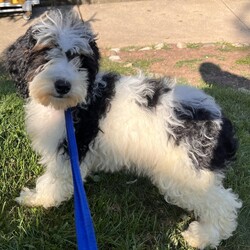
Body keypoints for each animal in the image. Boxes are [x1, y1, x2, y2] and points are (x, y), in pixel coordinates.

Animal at [4, 8, 242, 249]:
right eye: (45, 53)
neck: (67, 106)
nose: (63, 85)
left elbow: (54, 180)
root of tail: (217, 117)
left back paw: (203, 236)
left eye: (80, 59)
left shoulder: (68, 149)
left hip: (186, 172)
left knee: (224, 203)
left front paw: (37, 198)